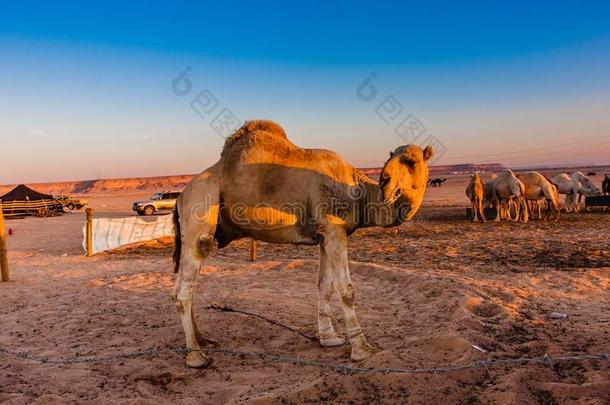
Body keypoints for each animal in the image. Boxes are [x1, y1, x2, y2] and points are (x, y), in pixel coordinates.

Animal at [171, 118, 432, 368]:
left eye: (411, 161)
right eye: (392, 157)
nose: (385, 180)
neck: (358, 191)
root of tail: (180, 196)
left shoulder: (326, 235)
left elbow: (324, 286)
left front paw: (329, 338)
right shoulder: (333, 228)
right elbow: (346, 289)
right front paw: (362, 350)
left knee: (186, 287)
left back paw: (203, 340)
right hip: (201, 204)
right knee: (184, 288)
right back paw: (196, 357)